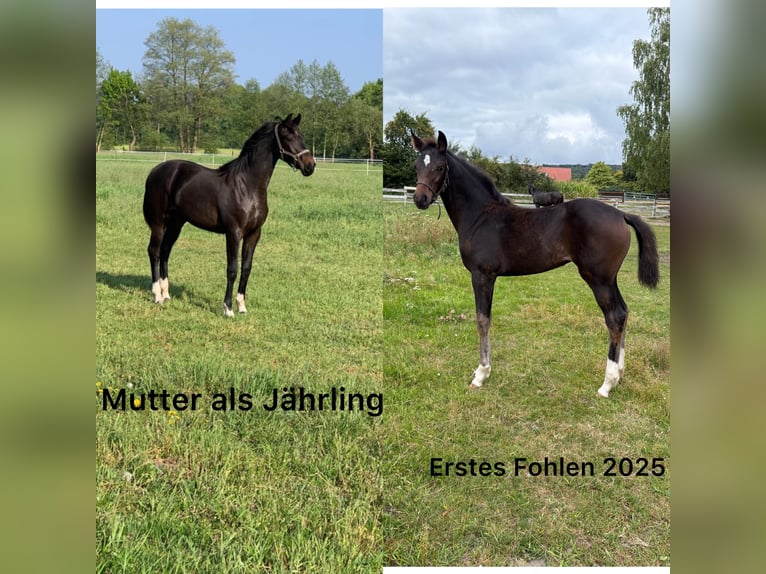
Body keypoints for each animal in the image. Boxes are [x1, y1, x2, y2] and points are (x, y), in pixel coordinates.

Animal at [143, 113, 316, 316]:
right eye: (288, 136)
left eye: (301, 135)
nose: (310, 166)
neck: (246, 186)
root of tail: (156, 171)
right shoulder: (233, 233)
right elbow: (232, 269)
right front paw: (228, 308)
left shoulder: (254, 234)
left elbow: (246, 268)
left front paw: (242, 306)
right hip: (158, 223)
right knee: (154, 251)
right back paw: (157, 295)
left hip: (177, 223)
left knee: (165, 251)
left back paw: (166, 293)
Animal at [410, 130, 659, 397]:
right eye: (417, 165)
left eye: (439, 167)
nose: (420, 199)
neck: (481, 215)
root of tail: (621, 214)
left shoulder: (482, 275)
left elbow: (482, 320)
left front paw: (481, 374)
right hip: (610, 279)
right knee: (624, 312)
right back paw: (620, 374)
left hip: (598, 279)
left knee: (614, 317)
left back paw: (607, 384)